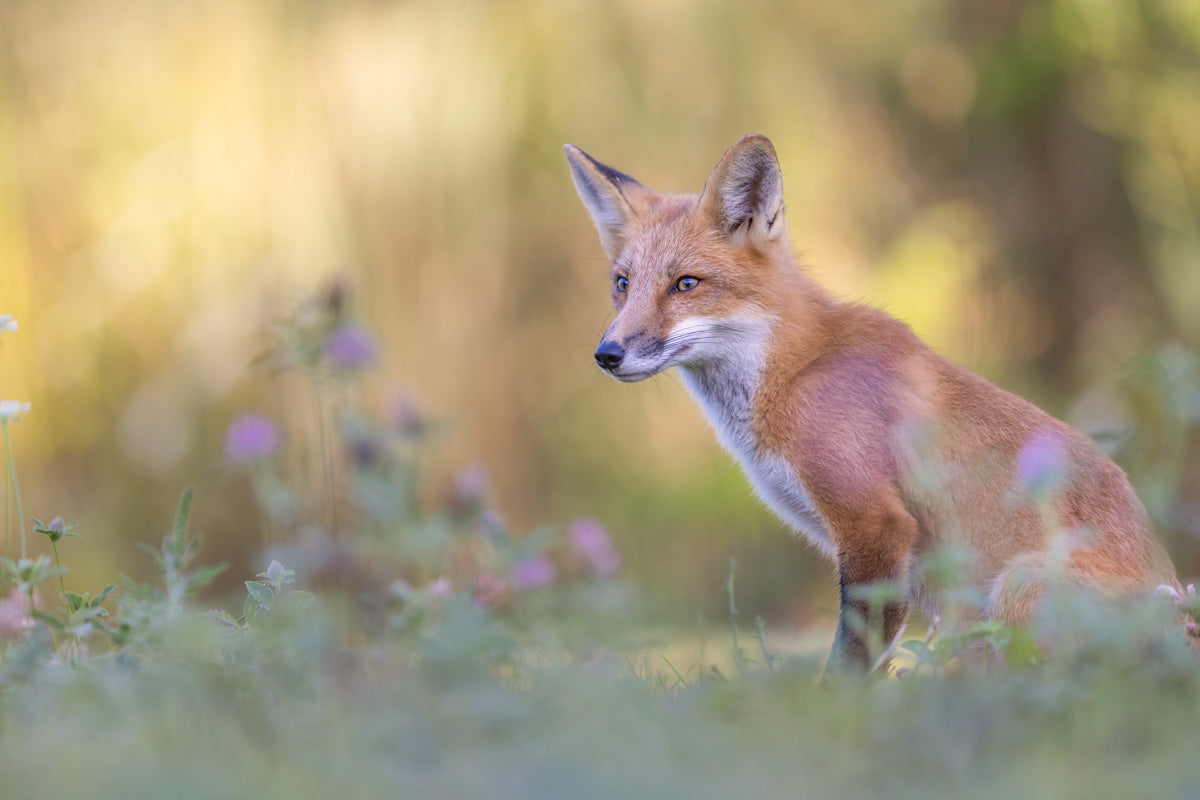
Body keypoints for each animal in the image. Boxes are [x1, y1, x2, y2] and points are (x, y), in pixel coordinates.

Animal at [564, 133, 1180, 671]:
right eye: (622, 283)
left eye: (686, 284)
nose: (606, 354)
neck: (793, 373)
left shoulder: (874, 524)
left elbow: (849, 665)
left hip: (1019, 584)